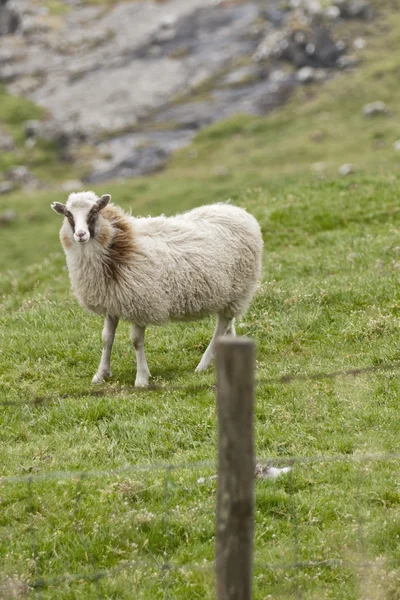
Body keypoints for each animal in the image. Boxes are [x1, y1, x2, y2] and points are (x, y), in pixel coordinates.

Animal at [51, 192, 264, 390]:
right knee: (227, 322)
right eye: (68, 214)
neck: (119, 245)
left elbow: (136, 341)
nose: (80, 235)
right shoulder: (112, 302)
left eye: (94, 211)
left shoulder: (140, 302)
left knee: (221, 326)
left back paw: (202, 365)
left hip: (239, 288)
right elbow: (106, 339)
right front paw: (100, 374)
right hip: (228, 294)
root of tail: (239, 211)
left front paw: (141, 379)